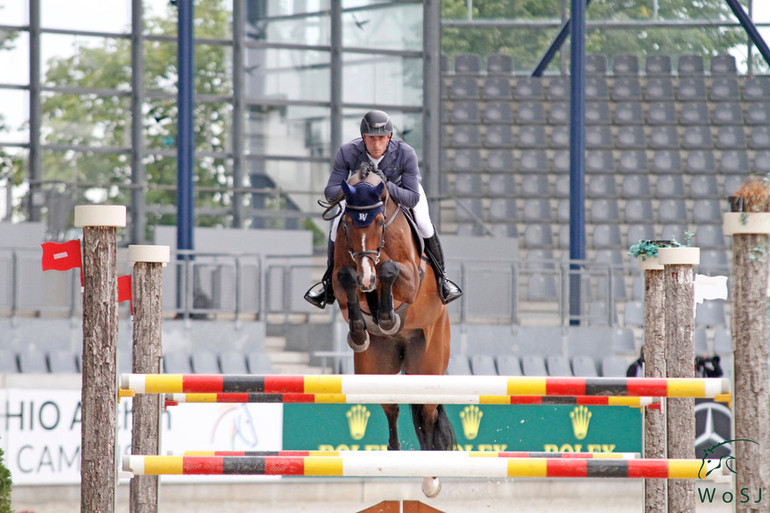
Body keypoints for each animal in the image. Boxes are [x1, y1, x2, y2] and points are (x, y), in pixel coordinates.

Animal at [328, 162, 452, 494]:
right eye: (347, 223)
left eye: (380, 221)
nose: (366, 279)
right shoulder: (342, 280)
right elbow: (345, 276)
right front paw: (360, 330)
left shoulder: (410, 279)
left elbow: (389, 269)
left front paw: (386, 317)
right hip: (377, 367)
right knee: (392, 406)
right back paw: (395, 454)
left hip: (428, 365)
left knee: (426, 413)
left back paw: (431, 476)